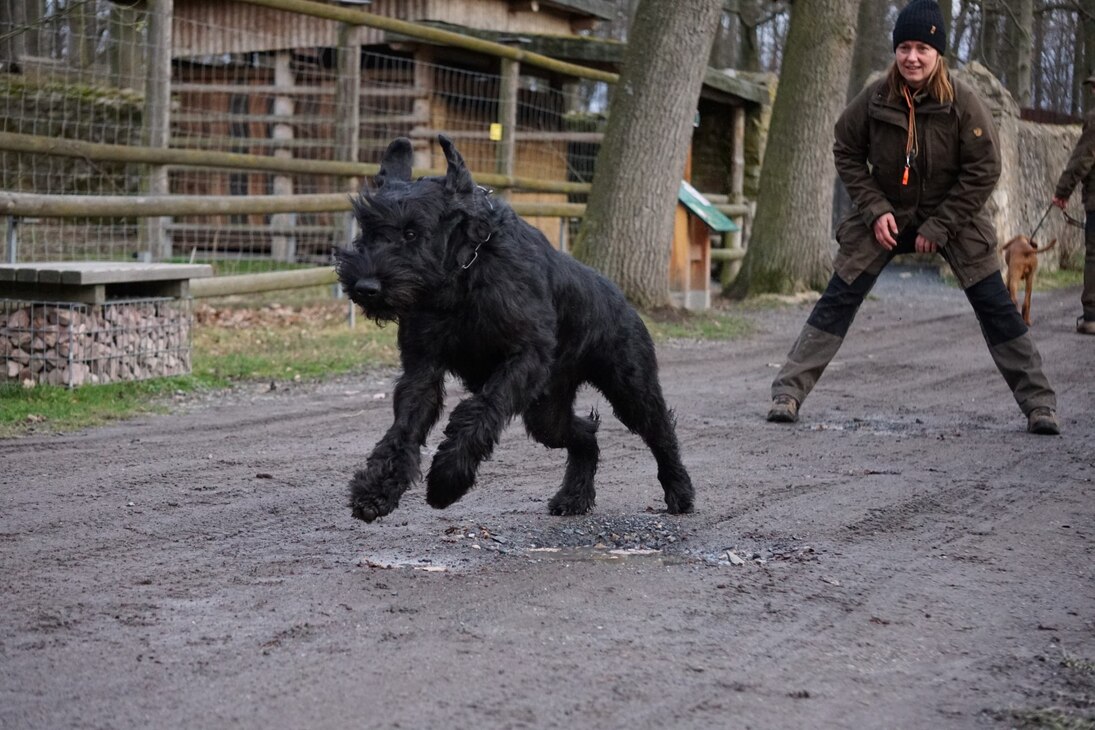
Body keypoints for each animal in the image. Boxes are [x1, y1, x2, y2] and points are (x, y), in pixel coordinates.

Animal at [332, 135, 692, 525]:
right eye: (368, 229)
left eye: (412, 232)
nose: (365, 287)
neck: (463, 275)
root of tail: (621, 297)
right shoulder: (422, 369)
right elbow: (403, 430)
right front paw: (376, 490)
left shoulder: (524, 357)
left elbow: (482, 408)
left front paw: (448, 477)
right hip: (547, 413)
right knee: (585, 435)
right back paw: (573, 496)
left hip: (630, 389)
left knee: (660, 433)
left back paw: (679, 490)